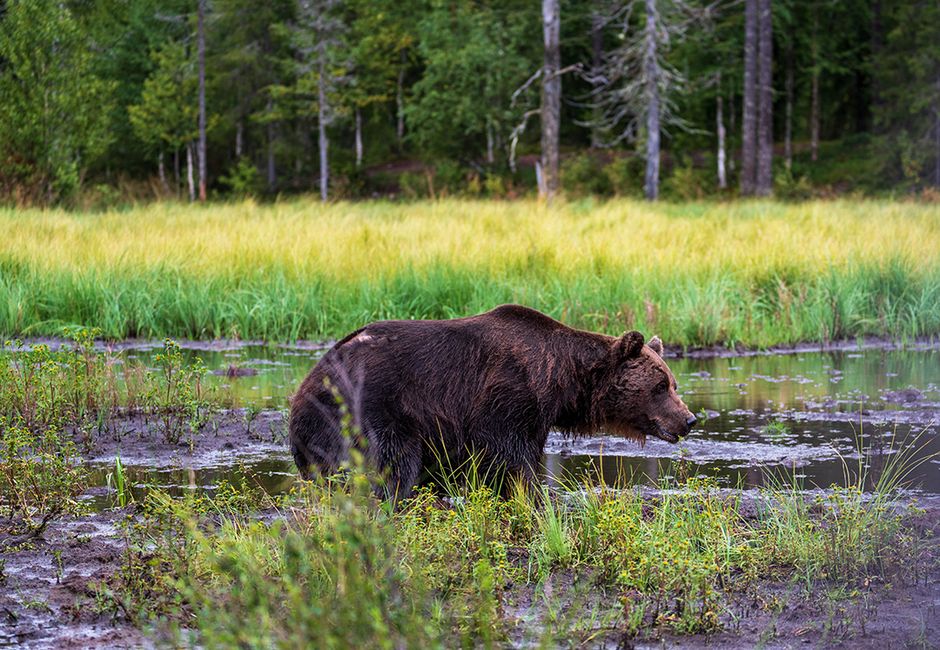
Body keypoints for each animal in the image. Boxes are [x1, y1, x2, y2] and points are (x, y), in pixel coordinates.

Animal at [289, 304, 696, 500]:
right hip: (373, 405)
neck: (560, 380)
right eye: (660, 386)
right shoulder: (506, 398)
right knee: (394, 461)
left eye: (673, 384)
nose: (689, 419)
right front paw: (532, 499)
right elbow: (511, 459)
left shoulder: (534, 417)